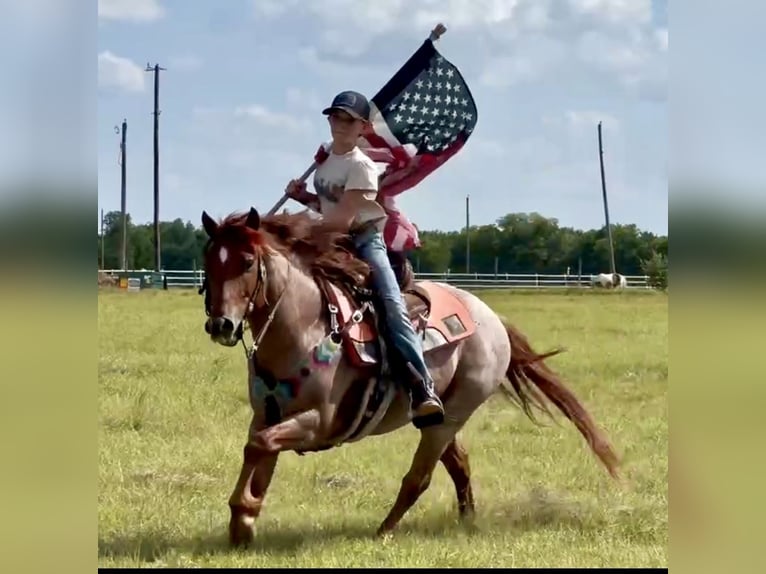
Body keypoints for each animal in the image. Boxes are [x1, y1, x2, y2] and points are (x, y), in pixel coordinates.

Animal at [199, 207, 620, 547]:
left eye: (248, 261)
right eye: (209, 262)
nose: (220, 325)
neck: (305, 327)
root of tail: (491, 317)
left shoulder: (319, 422)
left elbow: (259, 446)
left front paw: (243, 516)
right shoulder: (267, 414)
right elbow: (258, 451)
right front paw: (244, 522)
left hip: (452, 414)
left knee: (419, 478)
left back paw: (383, 532)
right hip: (440, 417)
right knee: (459, 464)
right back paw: (466, 522)